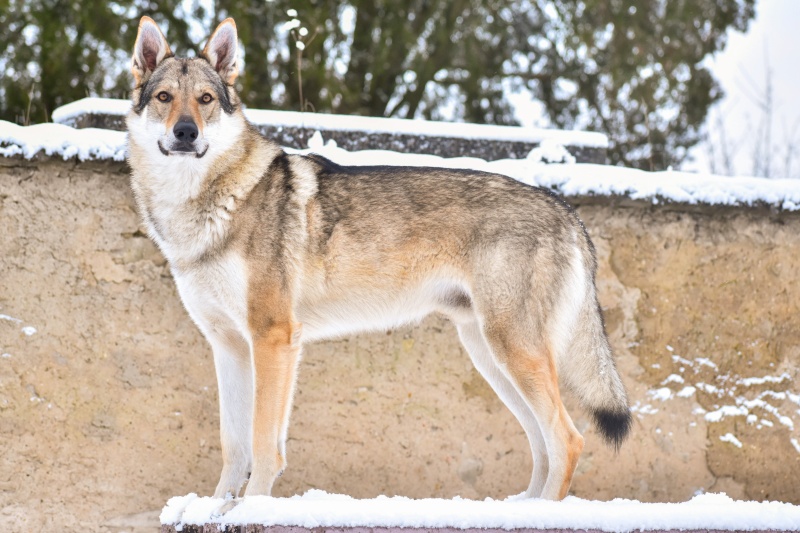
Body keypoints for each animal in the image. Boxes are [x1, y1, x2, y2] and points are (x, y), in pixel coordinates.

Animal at [125, 15, 632, 498]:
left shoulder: (274, 337)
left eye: (206, 99)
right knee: (542, 445)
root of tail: (566, 210)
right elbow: (234, 446)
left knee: (568, 440)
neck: (201, 205)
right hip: (490, 356)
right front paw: (217, 509)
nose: (186, 132)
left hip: (512, 352)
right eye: (165, 97)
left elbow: (264, 445)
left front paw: (252, 507)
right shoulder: (228, 345)